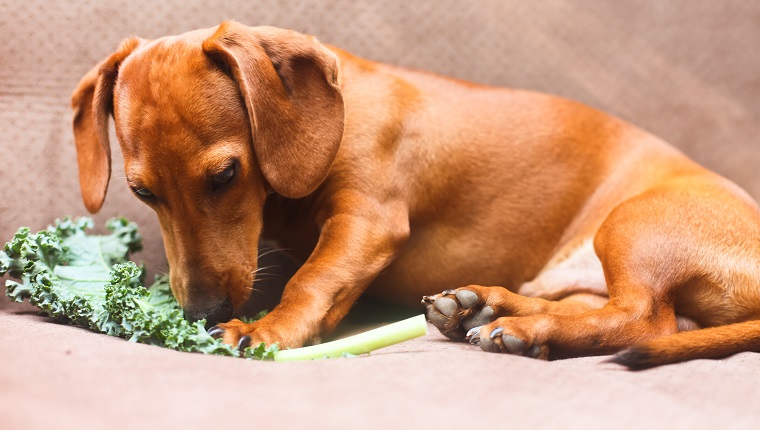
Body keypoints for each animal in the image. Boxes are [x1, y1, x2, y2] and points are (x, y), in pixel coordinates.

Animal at [71, 21, 760, 368]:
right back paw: (486, 309)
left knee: (646, 317)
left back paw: (524, 328)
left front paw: (268, 331)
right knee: (618, 310)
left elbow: (313, 279)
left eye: (225, 175)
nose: (200, 313)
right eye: (142, 190)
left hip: (631, 224)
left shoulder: (368, 220)